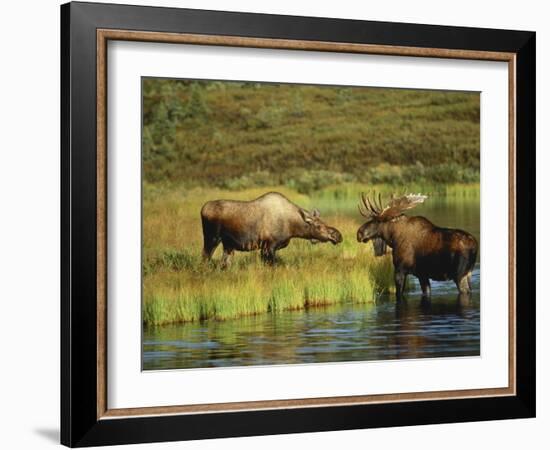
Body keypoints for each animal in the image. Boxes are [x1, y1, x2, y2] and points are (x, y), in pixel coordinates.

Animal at [201, 191, 342, 268]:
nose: (338, 235)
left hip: (228, 245)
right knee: (205, 258)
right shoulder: (269, 247)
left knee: (223, 264)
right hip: (212, 239)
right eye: (318, 226)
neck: (292, 227)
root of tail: (202, 209)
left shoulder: (265, 248)